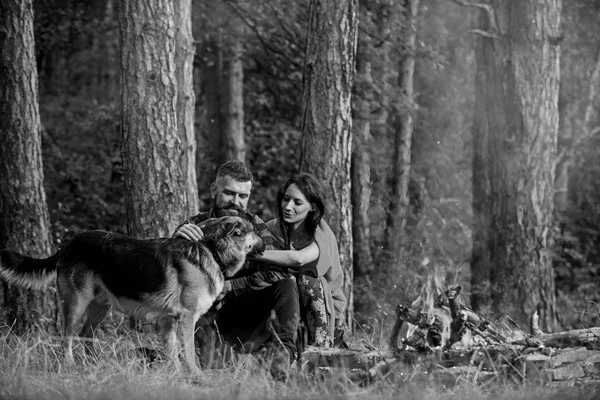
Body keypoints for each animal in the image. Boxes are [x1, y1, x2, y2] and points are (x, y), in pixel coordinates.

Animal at [0, 216, 262, 376]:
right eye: (253, 233)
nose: (265, 243)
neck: (211, 250)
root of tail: (67, 245)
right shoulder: (186, 318)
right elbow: (187, 352)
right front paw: (195, 375)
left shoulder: (168, 320)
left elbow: (172, 350)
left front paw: (175, 374)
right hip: (76, 303)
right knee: (68, 336)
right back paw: (70, 364)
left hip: (101, 305)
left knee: (87, 334)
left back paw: (94, 364)